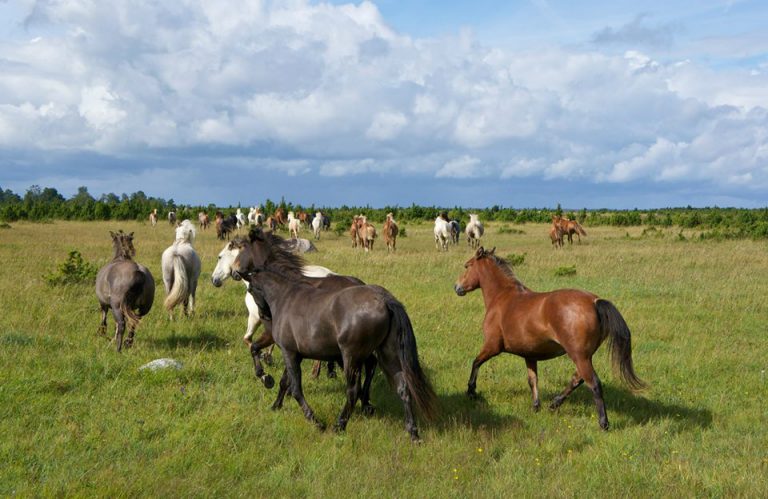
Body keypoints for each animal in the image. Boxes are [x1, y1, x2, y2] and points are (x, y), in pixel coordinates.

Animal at [211, 236, 352, 381]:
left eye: (219, 257)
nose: (214, 280)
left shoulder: (257, 318)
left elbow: (250, 341)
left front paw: (265, 364)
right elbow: (250, 339)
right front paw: (267, 358)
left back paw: (317, 373)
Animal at [232, 228, 437, 440]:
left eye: (240, 248)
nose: (234, 272)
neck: (286, 293)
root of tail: (385, 299)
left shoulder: (283, 345)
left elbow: (284, 377)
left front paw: (267, 379)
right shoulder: (293, 350)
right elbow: (281, 377)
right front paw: (275, 401)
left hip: (351, 357)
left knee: (354, 388)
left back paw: (341, 423)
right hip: (387, 353)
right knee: (400, 385)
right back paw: (409, 430)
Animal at [454, 247, 646, 430]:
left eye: (467, 266)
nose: (457, 287)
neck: (503, 298)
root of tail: (594, 302)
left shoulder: (492, 346)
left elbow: (476, 363)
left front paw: (471, 391)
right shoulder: (529, 354)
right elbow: (532, 380)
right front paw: (536, 406)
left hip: (579, 356)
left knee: (594, 383)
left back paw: (603, 423)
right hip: (584, 356)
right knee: (578, 379)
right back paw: (554, 404)